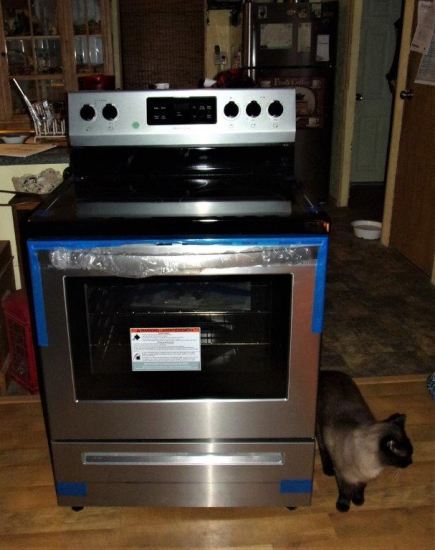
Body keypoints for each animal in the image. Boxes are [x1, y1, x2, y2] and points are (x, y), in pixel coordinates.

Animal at [315, 370, 413, 512]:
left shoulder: (364, 476)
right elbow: (345, 491)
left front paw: (358, 501)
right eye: (406, 455)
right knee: (322, 448)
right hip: (319, 430)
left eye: (411, 453)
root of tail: (327, 372)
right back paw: (328, 470)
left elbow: (360, 488)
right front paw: (343, 506)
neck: (375, 465)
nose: (411, 462)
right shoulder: (342, 475)